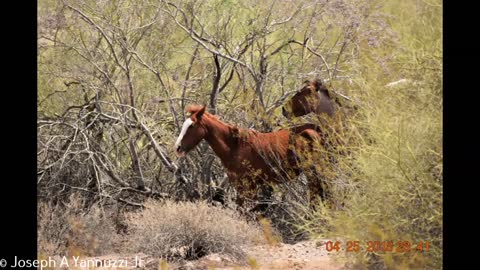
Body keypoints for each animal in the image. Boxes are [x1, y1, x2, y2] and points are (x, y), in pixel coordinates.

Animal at [174, 104, 328, 208]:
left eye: (192, 126)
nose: (178, 147)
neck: (235, 146)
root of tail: (318, 130)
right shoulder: (242, 186)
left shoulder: (247, 186)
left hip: (313, 173)